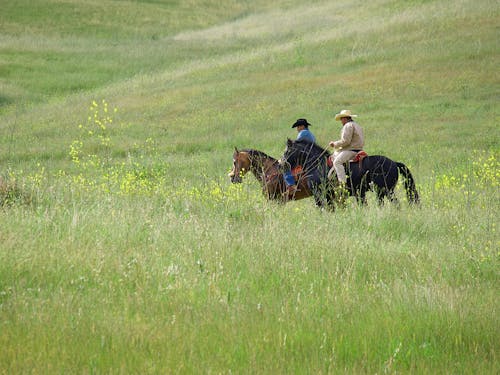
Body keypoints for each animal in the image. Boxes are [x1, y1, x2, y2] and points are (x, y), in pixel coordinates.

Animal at [284, 139, 420, 207]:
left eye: (287, 151)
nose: (281, 163)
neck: (317, 165)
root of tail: (394, 163)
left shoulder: (320, 194)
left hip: (384, 190)